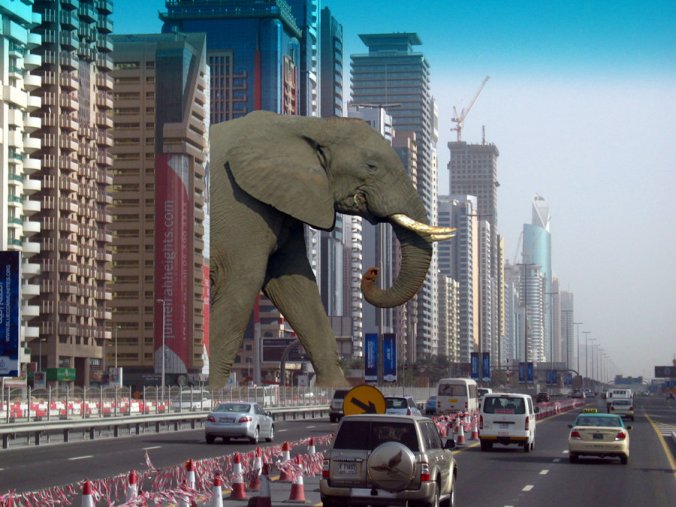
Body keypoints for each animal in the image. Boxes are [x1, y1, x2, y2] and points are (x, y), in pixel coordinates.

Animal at [209, 111, 454, 388]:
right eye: (371, 166)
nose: (373, 272)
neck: (309, 125)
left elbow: (295, 285)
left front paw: (335, 388)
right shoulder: (238, 203)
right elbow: (242, 280)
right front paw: (211, 391)